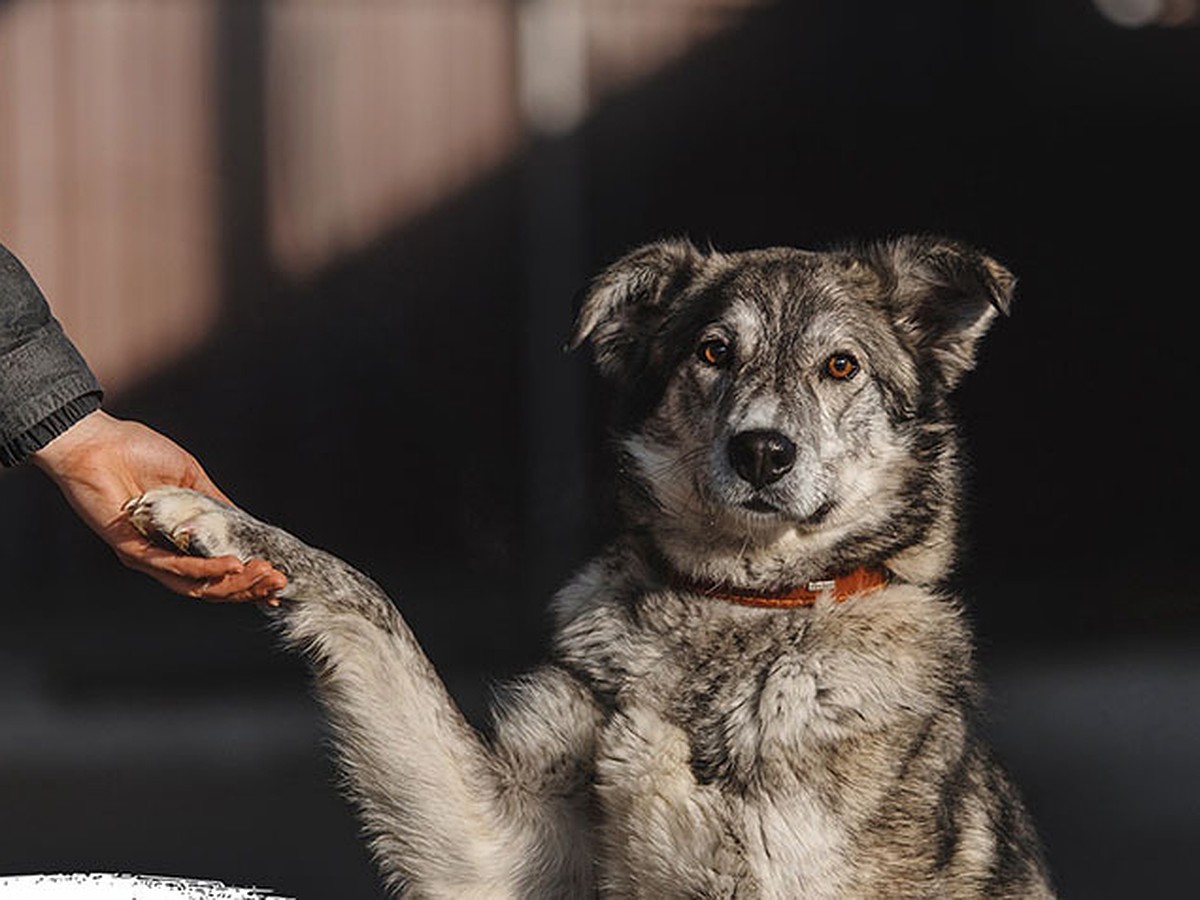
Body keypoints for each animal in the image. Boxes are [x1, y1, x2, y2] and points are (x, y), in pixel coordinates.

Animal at [126, 236, 1056, 897]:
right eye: (713, 353)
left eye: (841, 367)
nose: (761, 451)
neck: (740, 609)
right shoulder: (500, 849)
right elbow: (372, 606)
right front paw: (220, 522)